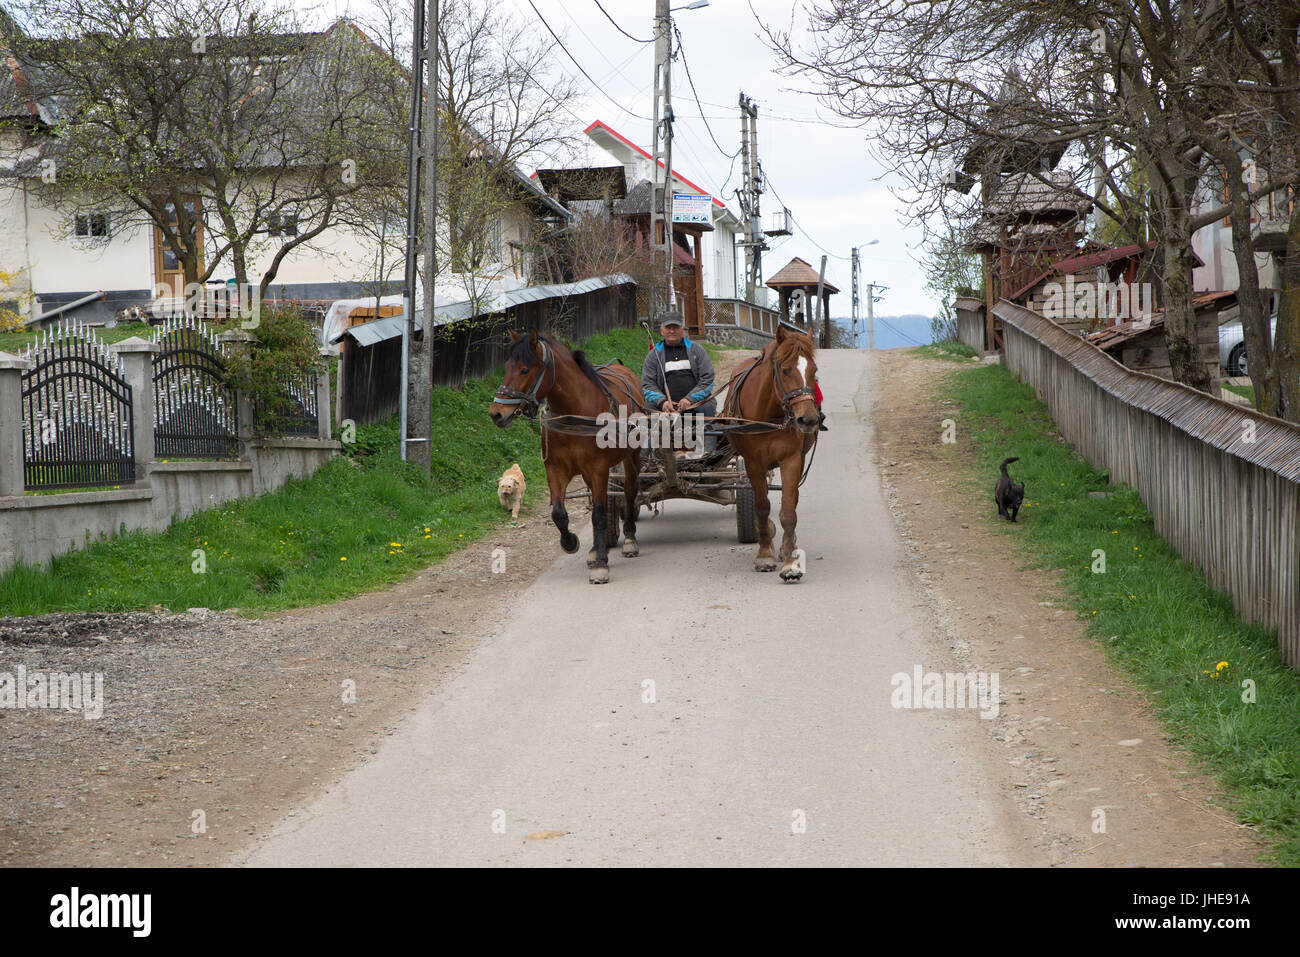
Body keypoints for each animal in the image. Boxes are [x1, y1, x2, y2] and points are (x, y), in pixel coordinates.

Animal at [488, 328, 644, 582]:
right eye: (507, 366)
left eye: (524, 369)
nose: (496, 413)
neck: (574, 413)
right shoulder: (556, 469)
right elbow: (559, 514)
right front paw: (571, 542)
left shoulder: (598, 469)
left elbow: (599, 514)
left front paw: (601, 564)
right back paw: (594, 549)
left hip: (631, 458)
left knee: (630, 492)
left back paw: (630, 538)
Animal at [728, 325, 816, 579]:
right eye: (785, 370)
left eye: (814, 371)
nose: (808, 419)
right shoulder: (753, 463)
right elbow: (761, 506)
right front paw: (764, 554)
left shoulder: (792, 460)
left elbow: (788, 509)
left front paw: (789, 562)